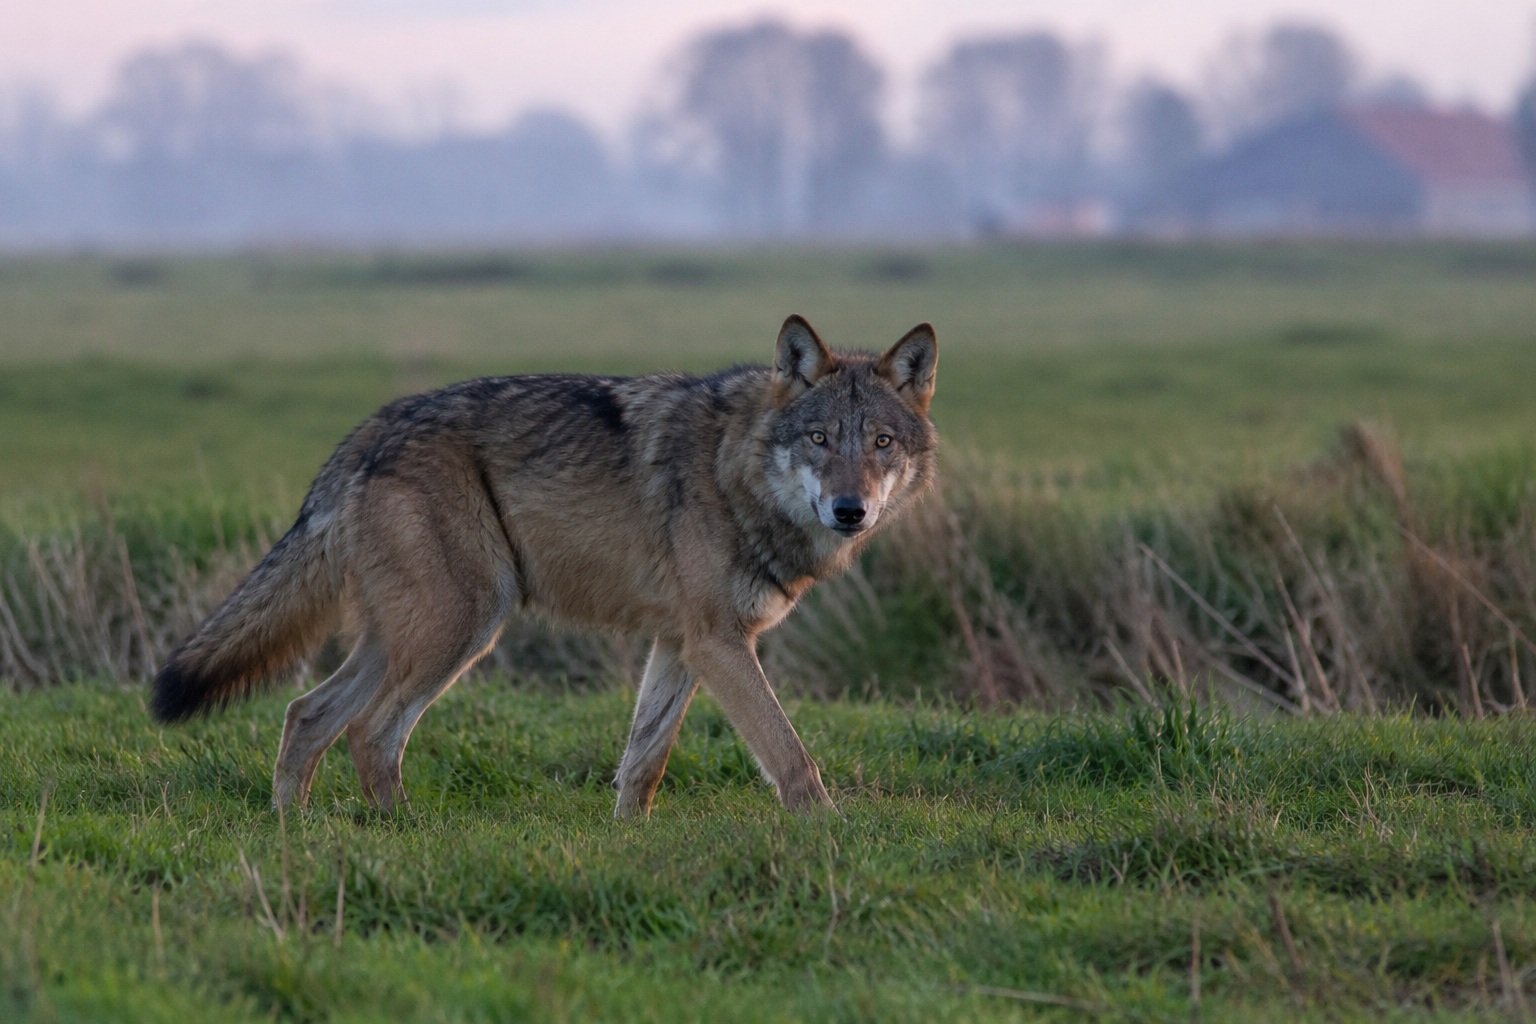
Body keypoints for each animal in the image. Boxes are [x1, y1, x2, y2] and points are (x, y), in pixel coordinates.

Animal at [150, 315, 938, 818]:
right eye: (819, 438)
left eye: (881, 443)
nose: (850, 509)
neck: (732, 468)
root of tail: (374, 425)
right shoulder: (718, 642)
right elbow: (790, 754)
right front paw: (833, 836)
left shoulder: (682, 643)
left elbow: (643, 764)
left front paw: (627, 843)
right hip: (465, 626)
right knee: (369, 733)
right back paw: (407, 832)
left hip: (404, 638)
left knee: (306, 715)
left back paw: (294, 831)